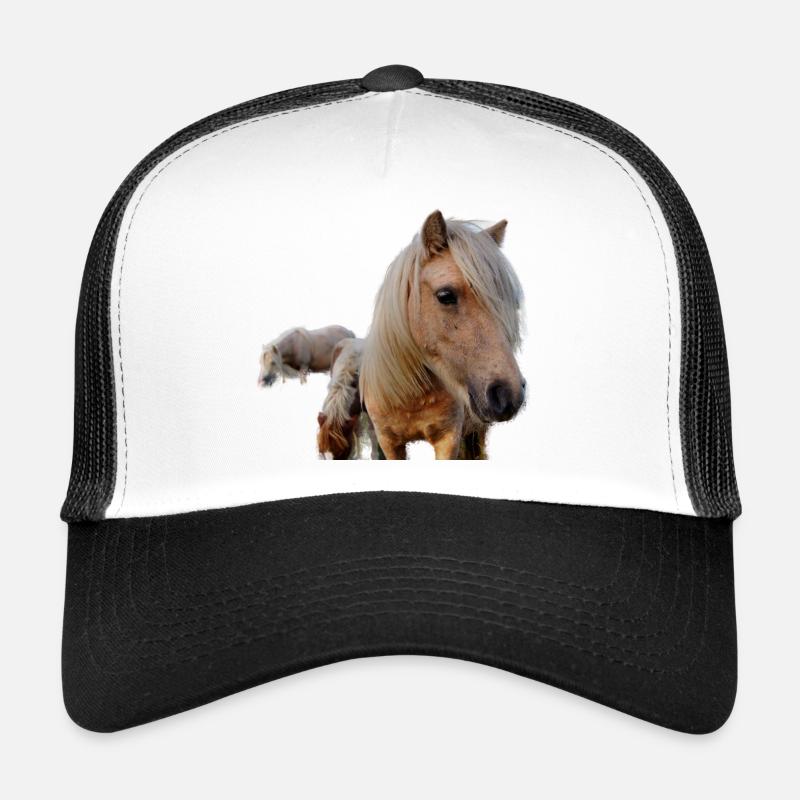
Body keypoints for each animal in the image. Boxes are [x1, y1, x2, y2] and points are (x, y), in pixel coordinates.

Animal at [359, 211, 525, 460]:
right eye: (445, 295)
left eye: (511, 303)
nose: (509, 394)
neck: (412, 396)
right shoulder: (389, 442)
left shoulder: (448, 439)